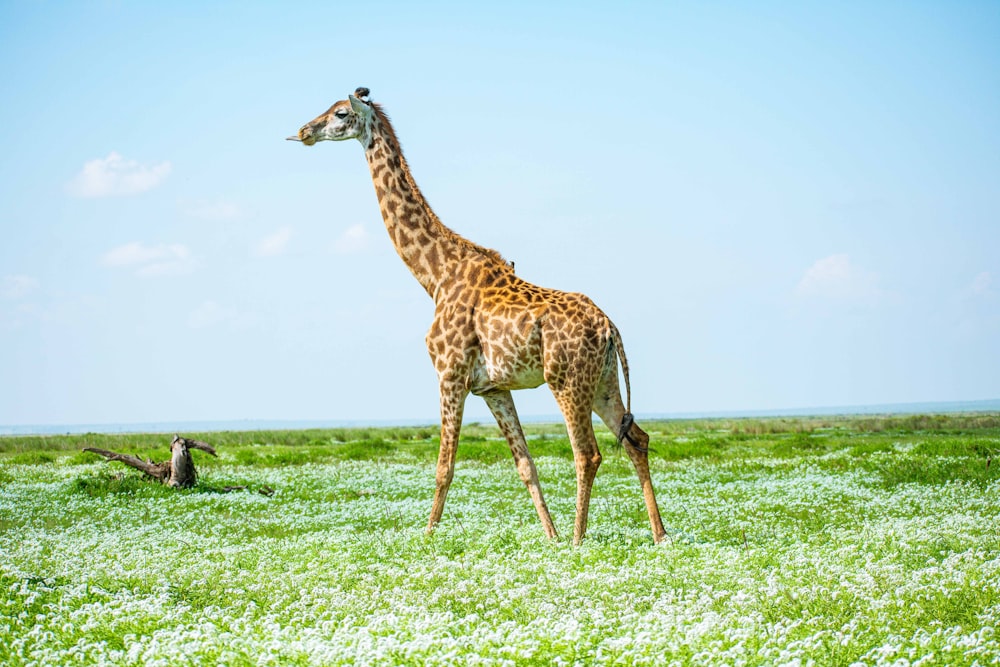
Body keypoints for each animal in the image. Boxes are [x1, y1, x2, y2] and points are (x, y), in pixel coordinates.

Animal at [290, 88, 664, 544]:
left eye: (341, 113)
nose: (304, 131)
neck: (434, 275)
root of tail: (610, 328)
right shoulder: (493, 388)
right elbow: (526, 466)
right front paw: (550, 536)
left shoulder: (449, 374)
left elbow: (444, 467)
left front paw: (427, 537)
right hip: (603, 382)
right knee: (636, 439)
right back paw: (659, 535)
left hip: (566, 380)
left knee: (587, 453)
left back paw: (580, 540)